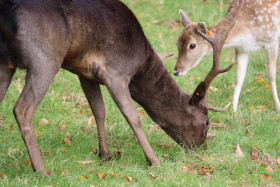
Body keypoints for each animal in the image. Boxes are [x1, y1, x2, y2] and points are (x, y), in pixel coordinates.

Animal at [0, 0, 232, 175]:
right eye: (207, 121)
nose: (202, 148)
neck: (140, 64)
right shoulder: (117, 72)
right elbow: (132, 116)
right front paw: (154, 161)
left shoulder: (85, 73)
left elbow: (99, 110)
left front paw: (105, 154)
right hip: (45, 58)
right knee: (22, 109)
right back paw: (42, 170)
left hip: (5, 64)